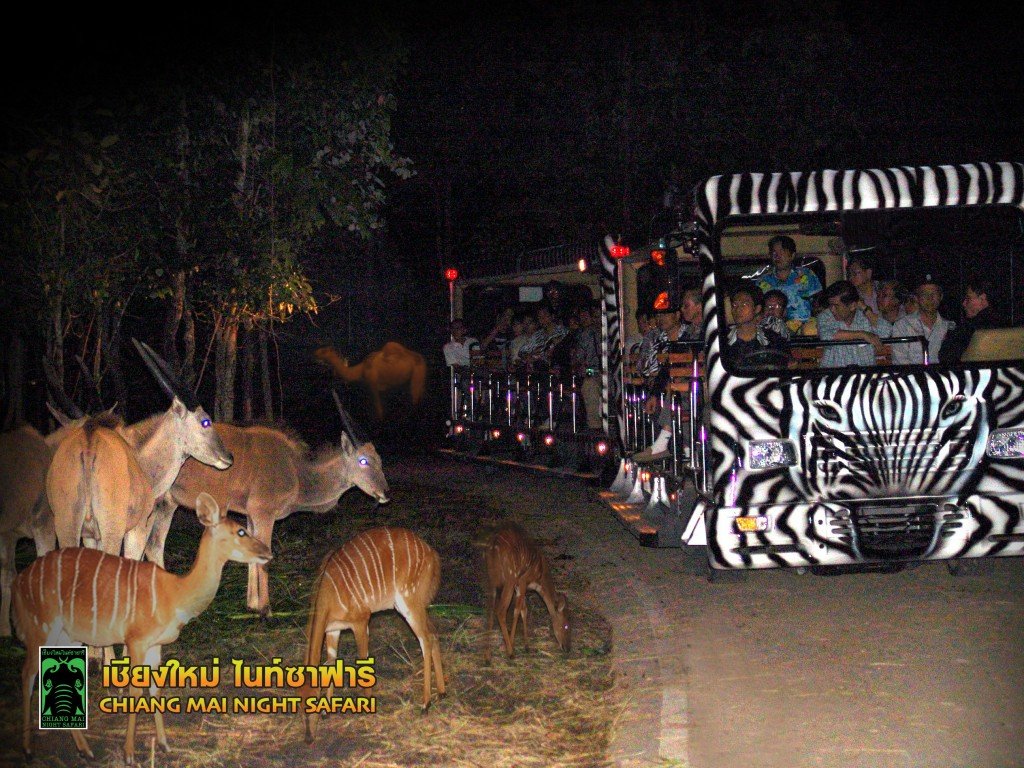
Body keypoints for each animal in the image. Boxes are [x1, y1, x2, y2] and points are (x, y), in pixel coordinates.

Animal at [14, 493, 272, 765]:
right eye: (241, 531)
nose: (268, 553)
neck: (176, 593)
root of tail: (18, 584)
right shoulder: (135, 640)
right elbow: (135, 691)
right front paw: (129, 754)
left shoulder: (155, 645)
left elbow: (156, 689)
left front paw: (165, 744)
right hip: (41, 629)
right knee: (27, 674)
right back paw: (29, 749)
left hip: (67, 637)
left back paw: (85, 750)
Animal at [45, 339, 232, 561]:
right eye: (205, 421)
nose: (228, 457)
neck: (139, 456)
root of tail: (89, 443)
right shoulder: (138, 529)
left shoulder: (90, 536)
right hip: (112, 532)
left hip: (67, 527)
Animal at [153, 393, 389, 618]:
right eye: (363, 461)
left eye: (380, 460)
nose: (386, 493)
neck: (297, 472)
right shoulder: (263, 513)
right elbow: (264, 558)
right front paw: (266, 610)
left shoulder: (251, 516)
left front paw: (252, 605)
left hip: (166, 505)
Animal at [303, 528, 448, 745]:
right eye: (297, 702)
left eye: (312, 701)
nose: (308, 738)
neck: (328, 593)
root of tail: (433, 554)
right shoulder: (333, 630)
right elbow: (331, 662)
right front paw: (326, 712)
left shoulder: (361, 621)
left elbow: (362, 659)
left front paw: (366, 708)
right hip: (415, 604)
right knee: (434, 632)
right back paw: (441, 693)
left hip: (409, 601)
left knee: (426, 639)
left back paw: (425, 704)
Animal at [483, 524, 573, 663]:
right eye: (566, 626)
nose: (567, 648)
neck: (539, 578)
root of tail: (493, 546)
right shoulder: (522, 580)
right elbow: (517, 610)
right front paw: (512, 646)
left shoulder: (519, 585)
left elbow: (524, 610)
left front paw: (526, 646)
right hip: (510, 576)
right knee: (501, 610)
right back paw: (510, 653)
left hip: (492, 576)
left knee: (490, 609)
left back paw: (487, 657)